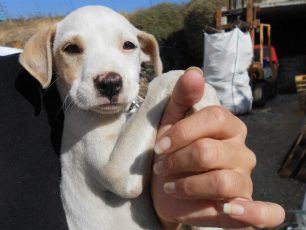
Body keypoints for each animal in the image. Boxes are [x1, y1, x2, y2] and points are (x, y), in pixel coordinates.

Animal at [19, 5, 220, 230]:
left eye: (129, 45)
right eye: (71, 48)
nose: (110, 83)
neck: (116, 117)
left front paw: (207, 102)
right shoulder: (115, 172)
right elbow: (159, 82)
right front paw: (183, 76)